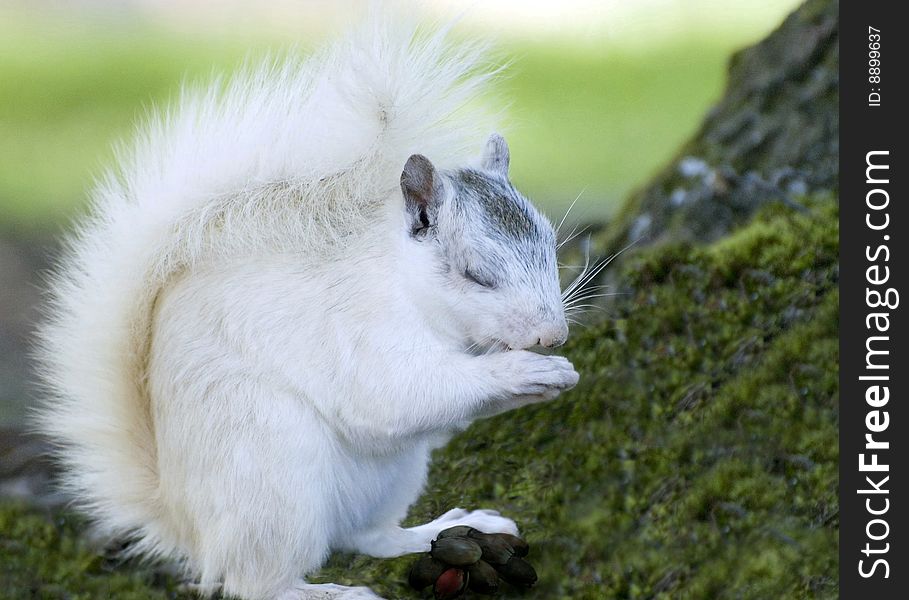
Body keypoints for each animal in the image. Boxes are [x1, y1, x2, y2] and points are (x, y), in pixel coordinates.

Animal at [35, 10, 580, 600]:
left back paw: (443, 529)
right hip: (270, 477)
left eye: (551, 243)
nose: (552, 337)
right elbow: (396, 395)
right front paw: (527, 371)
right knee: (255, 581)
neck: (404, 282)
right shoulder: (361, 328)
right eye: (475, 275)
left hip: (392, 476)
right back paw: (325, 591)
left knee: (368, 536)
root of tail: (185, 523)